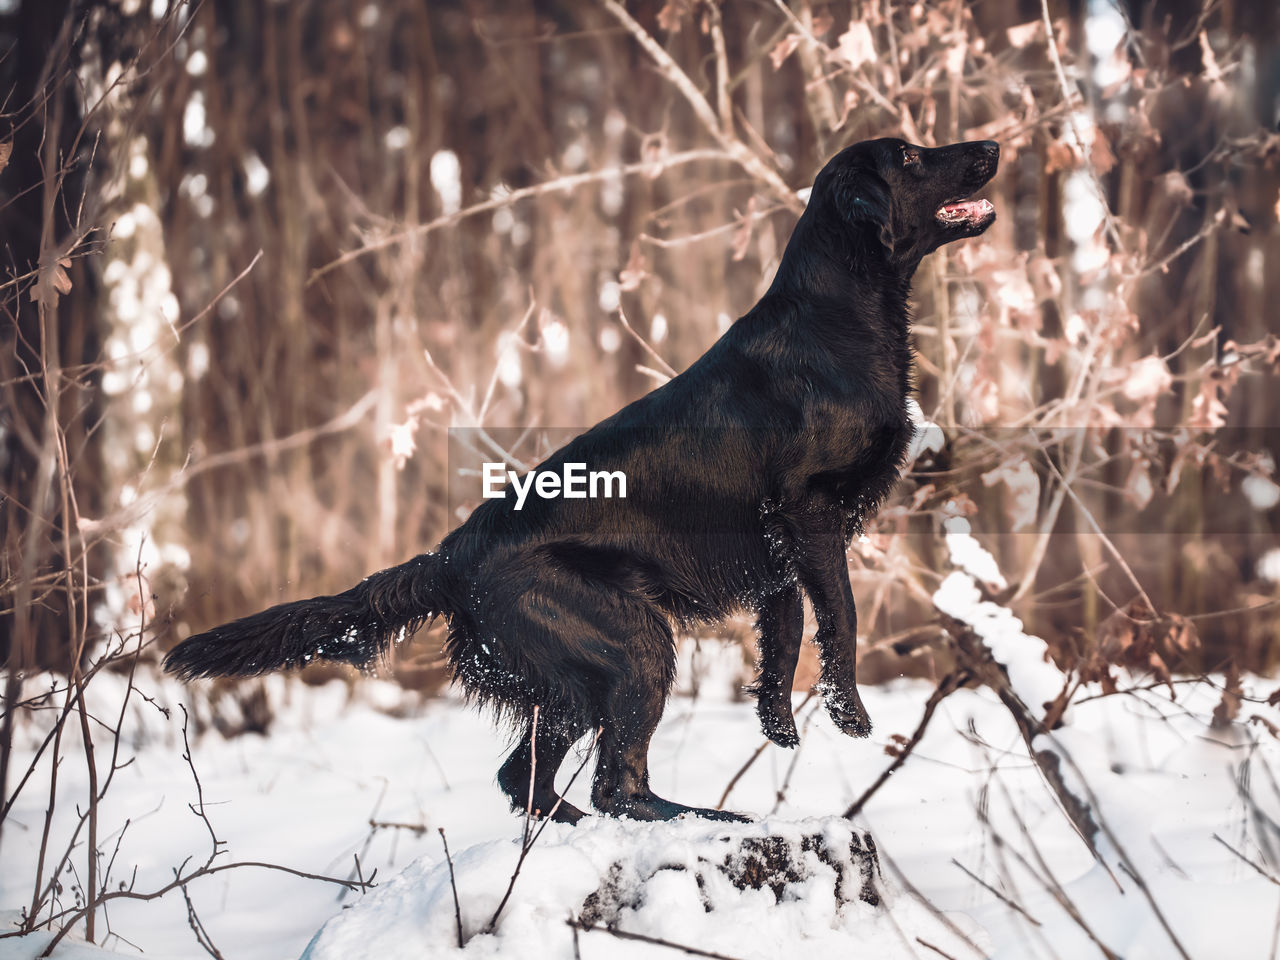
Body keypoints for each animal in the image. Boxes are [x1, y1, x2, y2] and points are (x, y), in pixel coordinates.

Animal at [162, 136, 998, 829]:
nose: (990, 145)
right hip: (633, 644)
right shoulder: (808, 512)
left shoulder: (774, 547)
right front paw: (850, 715)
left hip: (566, 681)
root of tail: (452, 553)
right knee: (615, 786)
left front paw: (778, 725)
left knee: (527, 781)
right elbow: (842, 616)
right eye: (912, 156)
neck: (837, 320)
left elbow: (784, 631)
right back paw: (708, 818)